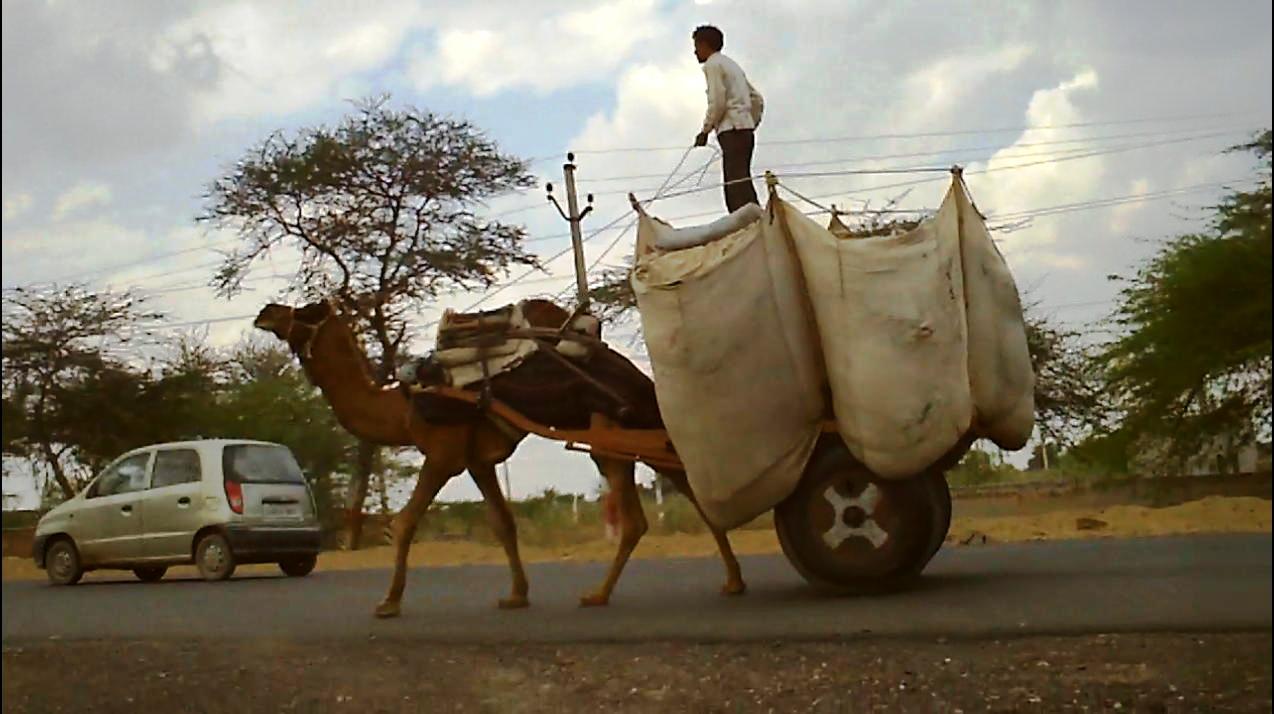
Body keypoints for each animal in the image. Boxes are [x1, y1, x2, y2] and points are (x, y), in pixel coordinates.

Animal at [256, 298, 744, 617]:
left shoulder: (444, 451)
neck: (404, 405)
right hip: (635, 432)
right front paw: (516, 595)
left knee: (640, 516)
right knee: (688, 488)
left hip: (610, 432)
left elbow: (406, 521)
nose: (266, 312)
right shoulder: (478, 459)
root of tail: (643, 379)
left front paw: (389, 602)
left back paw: (598, 594)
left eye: (306, 312)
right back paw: (732, 581)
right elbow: (502, 522)